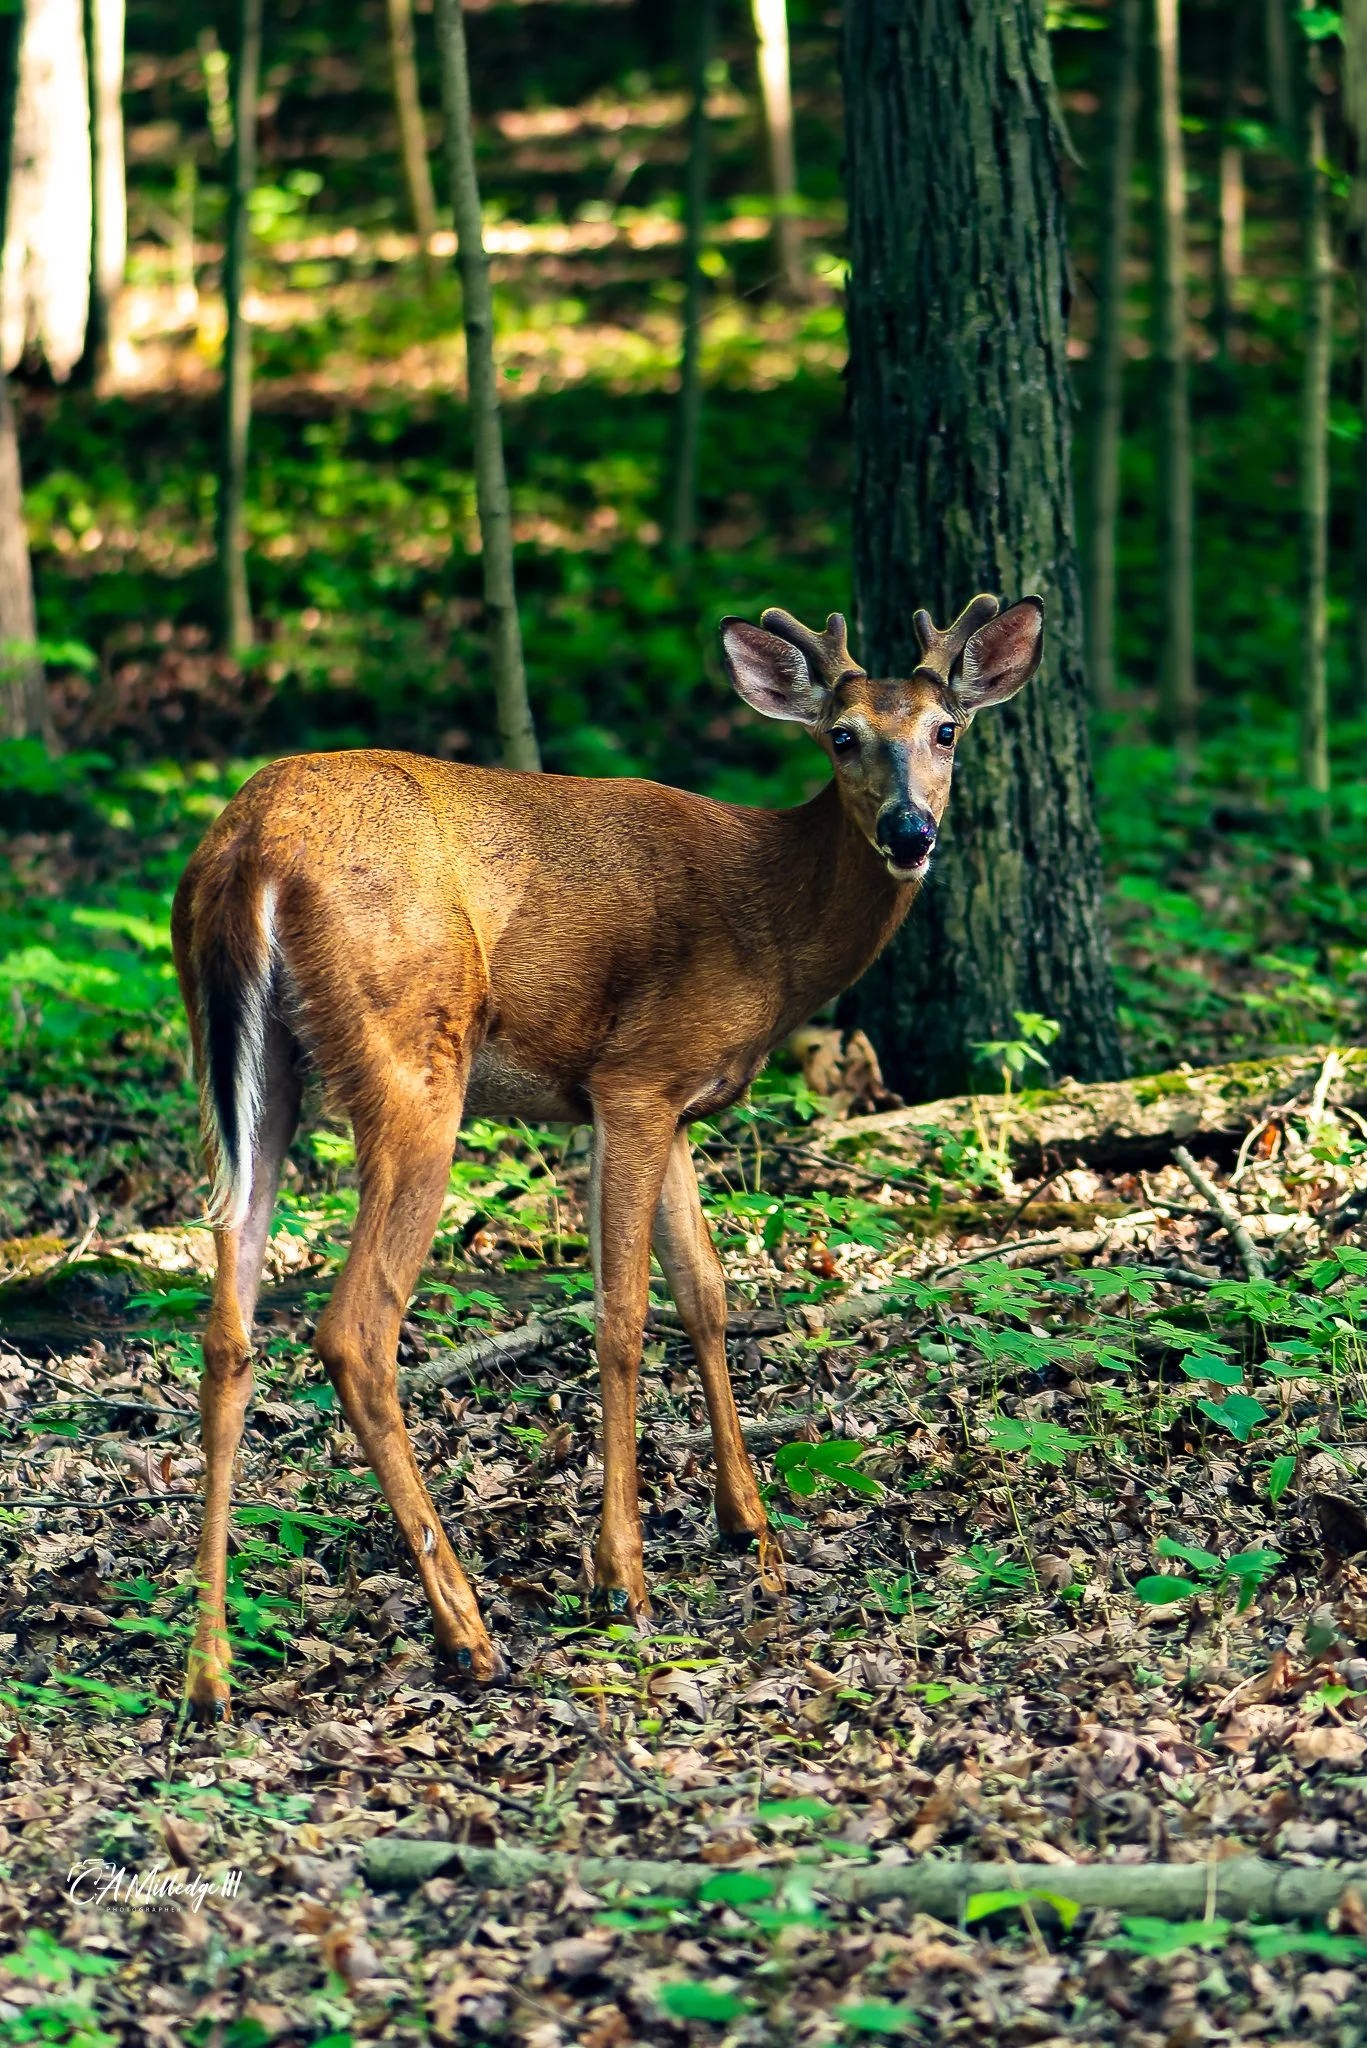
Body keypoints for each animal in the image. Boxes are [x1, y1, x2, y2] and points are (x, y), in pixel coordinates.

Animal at [171, 590, 1043, 1719]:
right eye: (842, 736)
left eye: (945, 730)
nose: (908, 830)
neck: (772, 928)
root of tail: (250, 850)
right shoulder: (635, 1078)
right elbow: (623, 1313)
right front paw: (618, 1574)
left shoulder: (665, 1098)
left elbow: (706, 1289)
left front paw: (749, 1528)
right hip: (413, 1057)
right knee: (355, 1329)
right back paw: (467, 1633)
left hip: (247, 1071)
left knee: (226, 1329)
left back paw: (211, 1675)